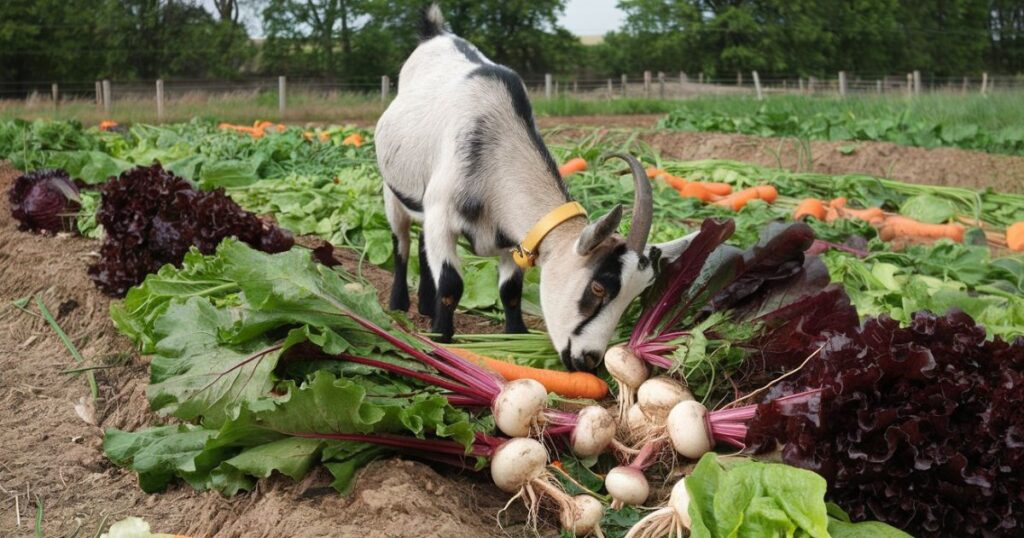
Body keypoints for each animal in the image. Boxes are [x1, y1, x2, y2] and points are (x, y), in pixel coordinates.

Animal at [372, 4, 692, 370]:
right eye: (598, 288)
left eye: (634, 296)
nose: (588, 360)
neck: (493, 145)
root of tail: (435, 32)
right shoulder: (442, 215)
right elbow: (452, 285)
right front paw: (441, 339)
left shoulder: (510, 237)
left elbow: (510, 291)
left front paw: (515, 335)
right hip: (393, 191)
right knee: (401, 243)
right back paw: (399, 303)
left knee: (423, 247)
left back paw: (425, 304)